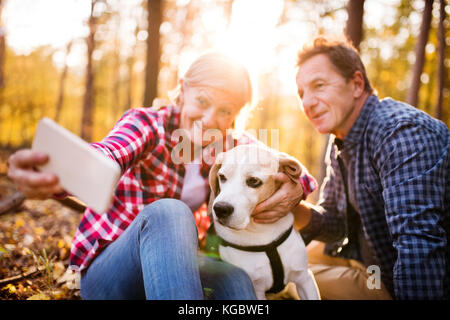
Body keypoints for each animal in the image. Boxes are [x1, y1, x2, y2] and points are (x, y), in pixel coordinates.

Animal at [207, 145, 320, 300]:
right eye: (222, 177)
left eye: (254, 181)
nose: (220, 209)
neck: (262, 232)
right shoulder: (257, 289)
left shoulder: (305, 278)